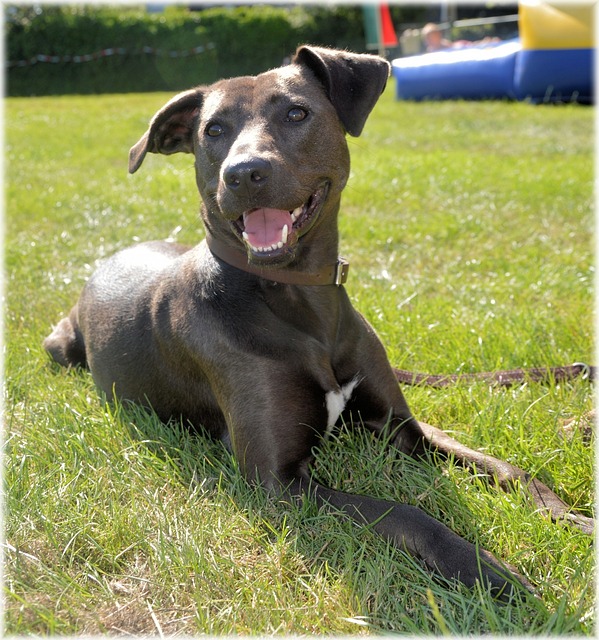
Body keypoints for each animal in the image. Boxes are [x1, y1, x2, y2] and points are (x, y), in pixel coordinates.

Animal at [44, 46, 592, 600]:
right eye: (213, 130)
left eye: (296, 113)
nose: (243, 174)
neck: (301, 301)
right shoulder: (279, 483)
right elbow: (406, 513)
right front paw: (485, 569)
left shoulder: (402, 426)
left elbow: (509, 469)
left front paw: (570, 518)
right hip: (59, 344)